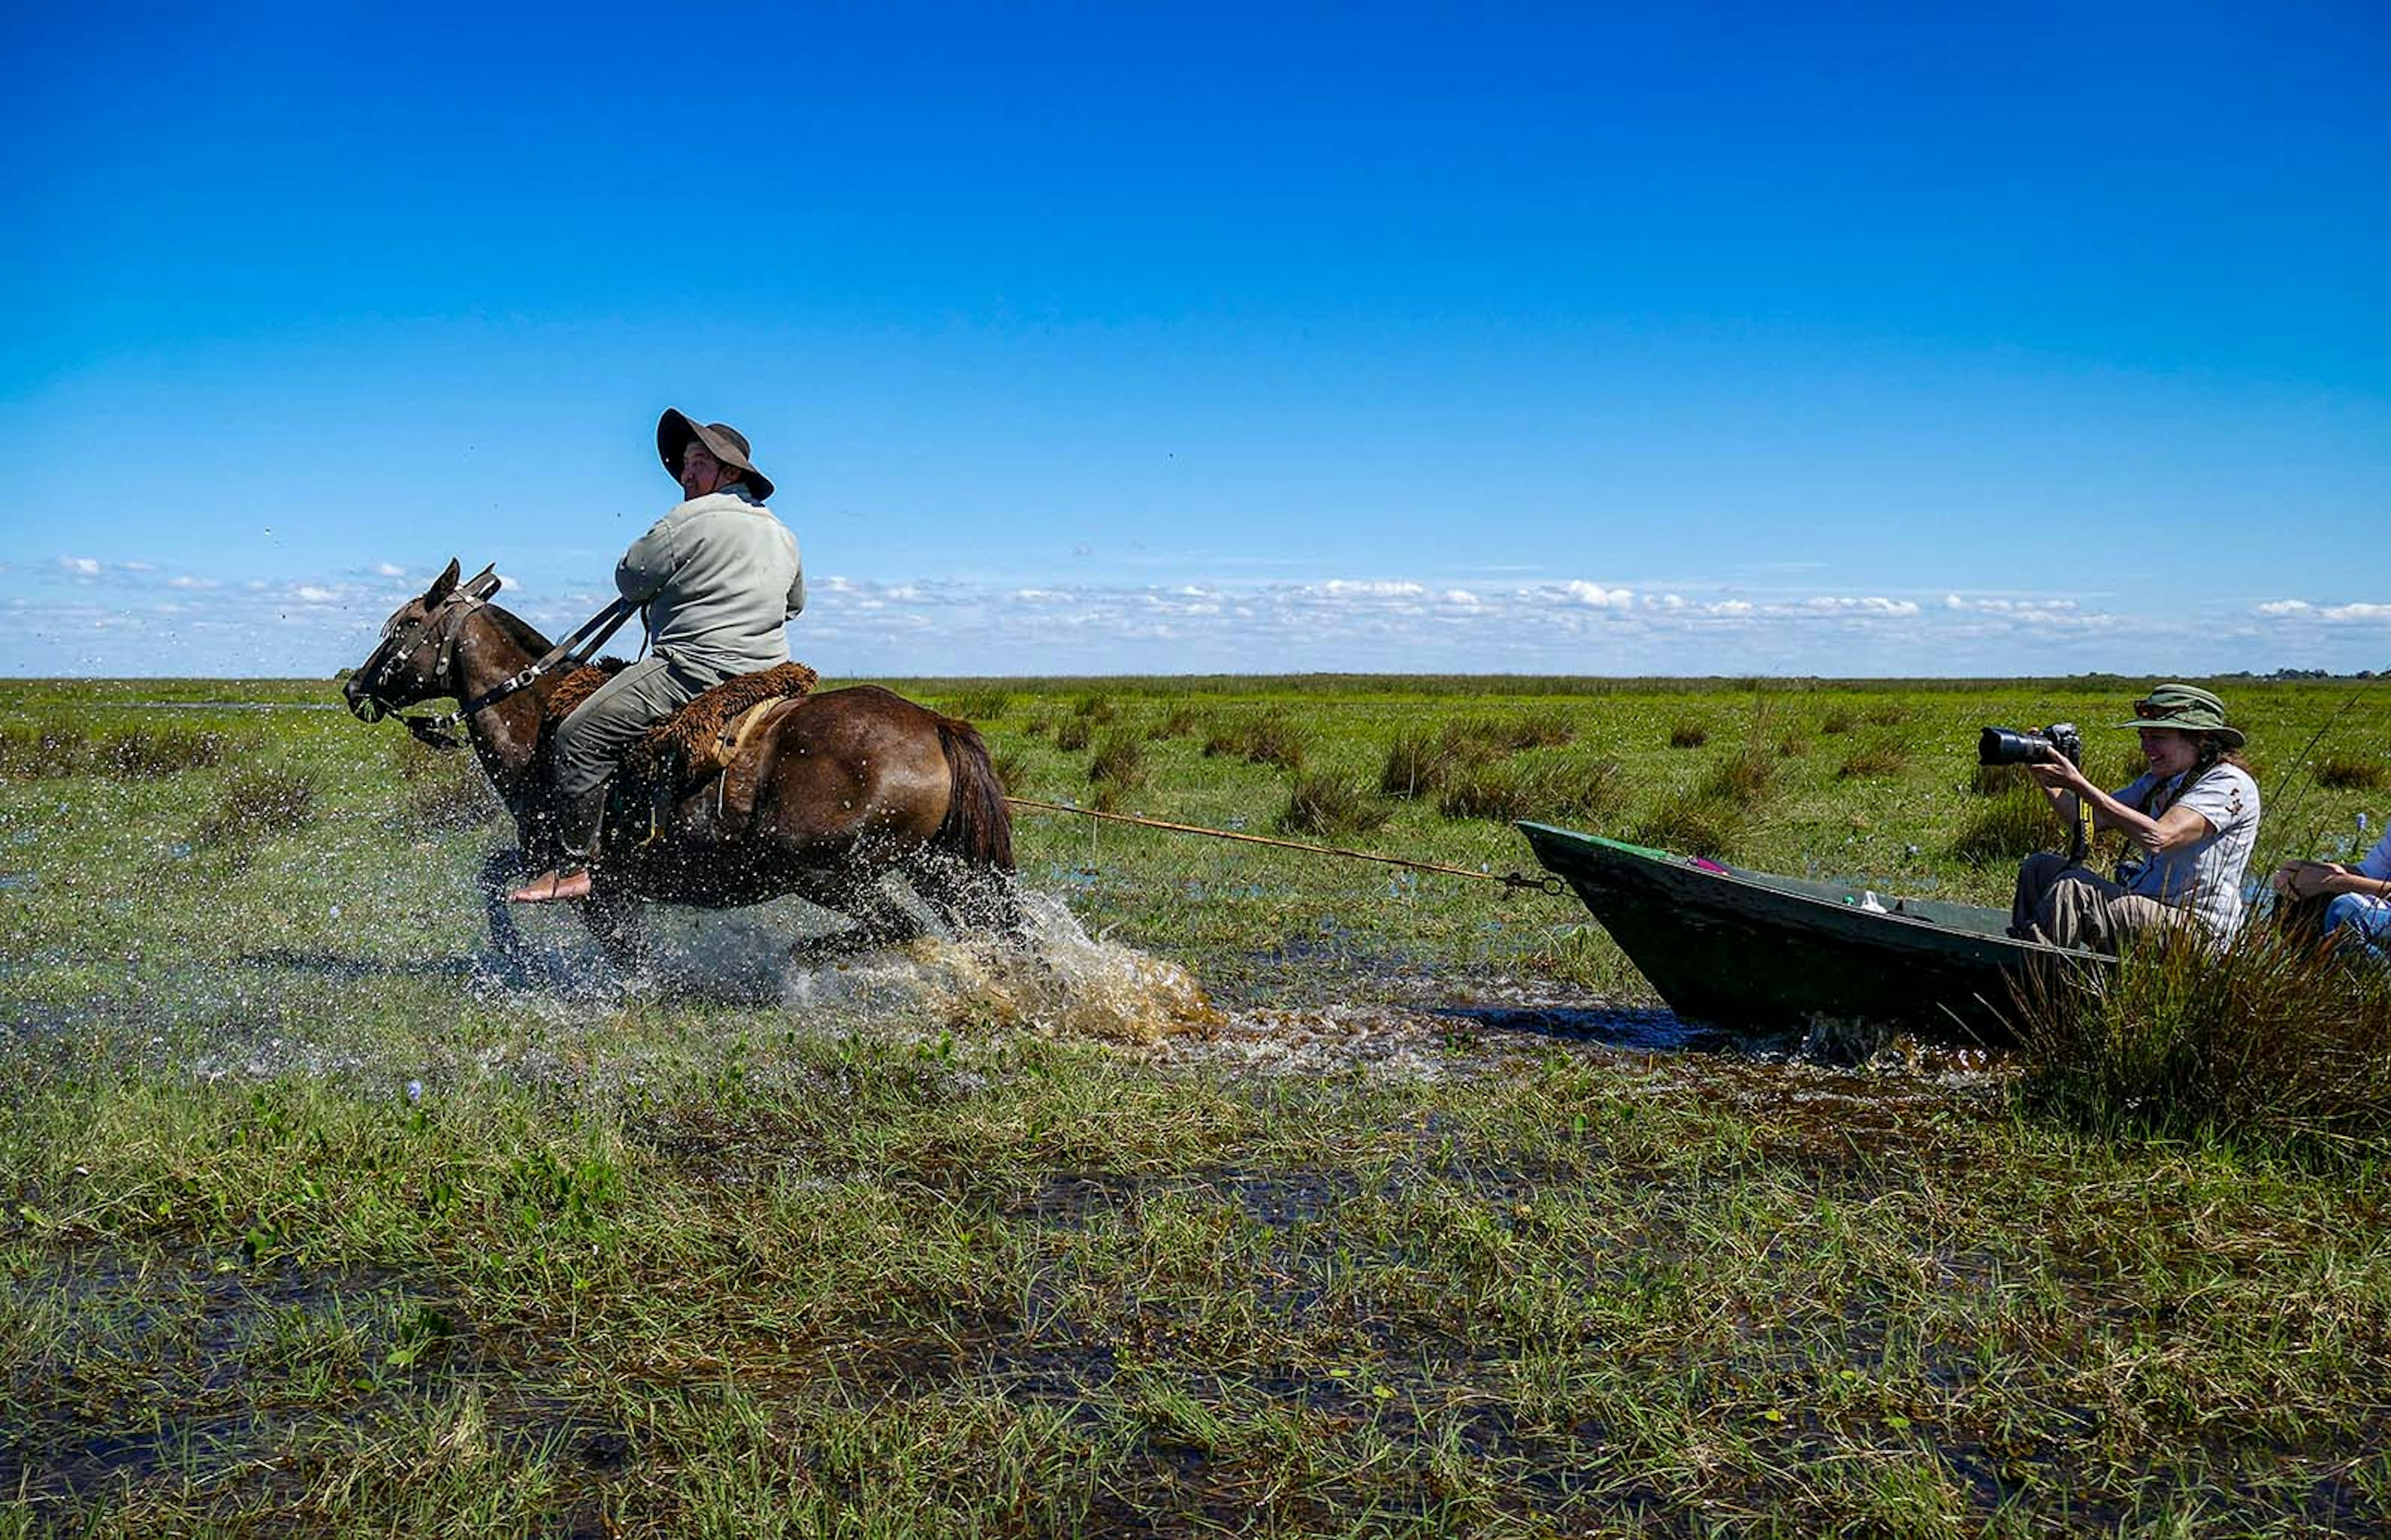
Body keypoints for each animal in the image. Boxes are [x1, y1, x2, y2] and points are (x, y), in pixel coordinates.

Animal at [342, 557, 1014, 961]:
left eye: (402, 625)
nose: (353, 688)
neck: (537, 720)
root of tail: (935, 724)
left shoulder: (585, 877)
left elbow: (618, 946)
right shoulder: (547, 856)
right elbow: (491, 874)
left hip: (826, 874)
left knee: (899, 928)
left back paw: (797, 962)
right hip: (938, 867)